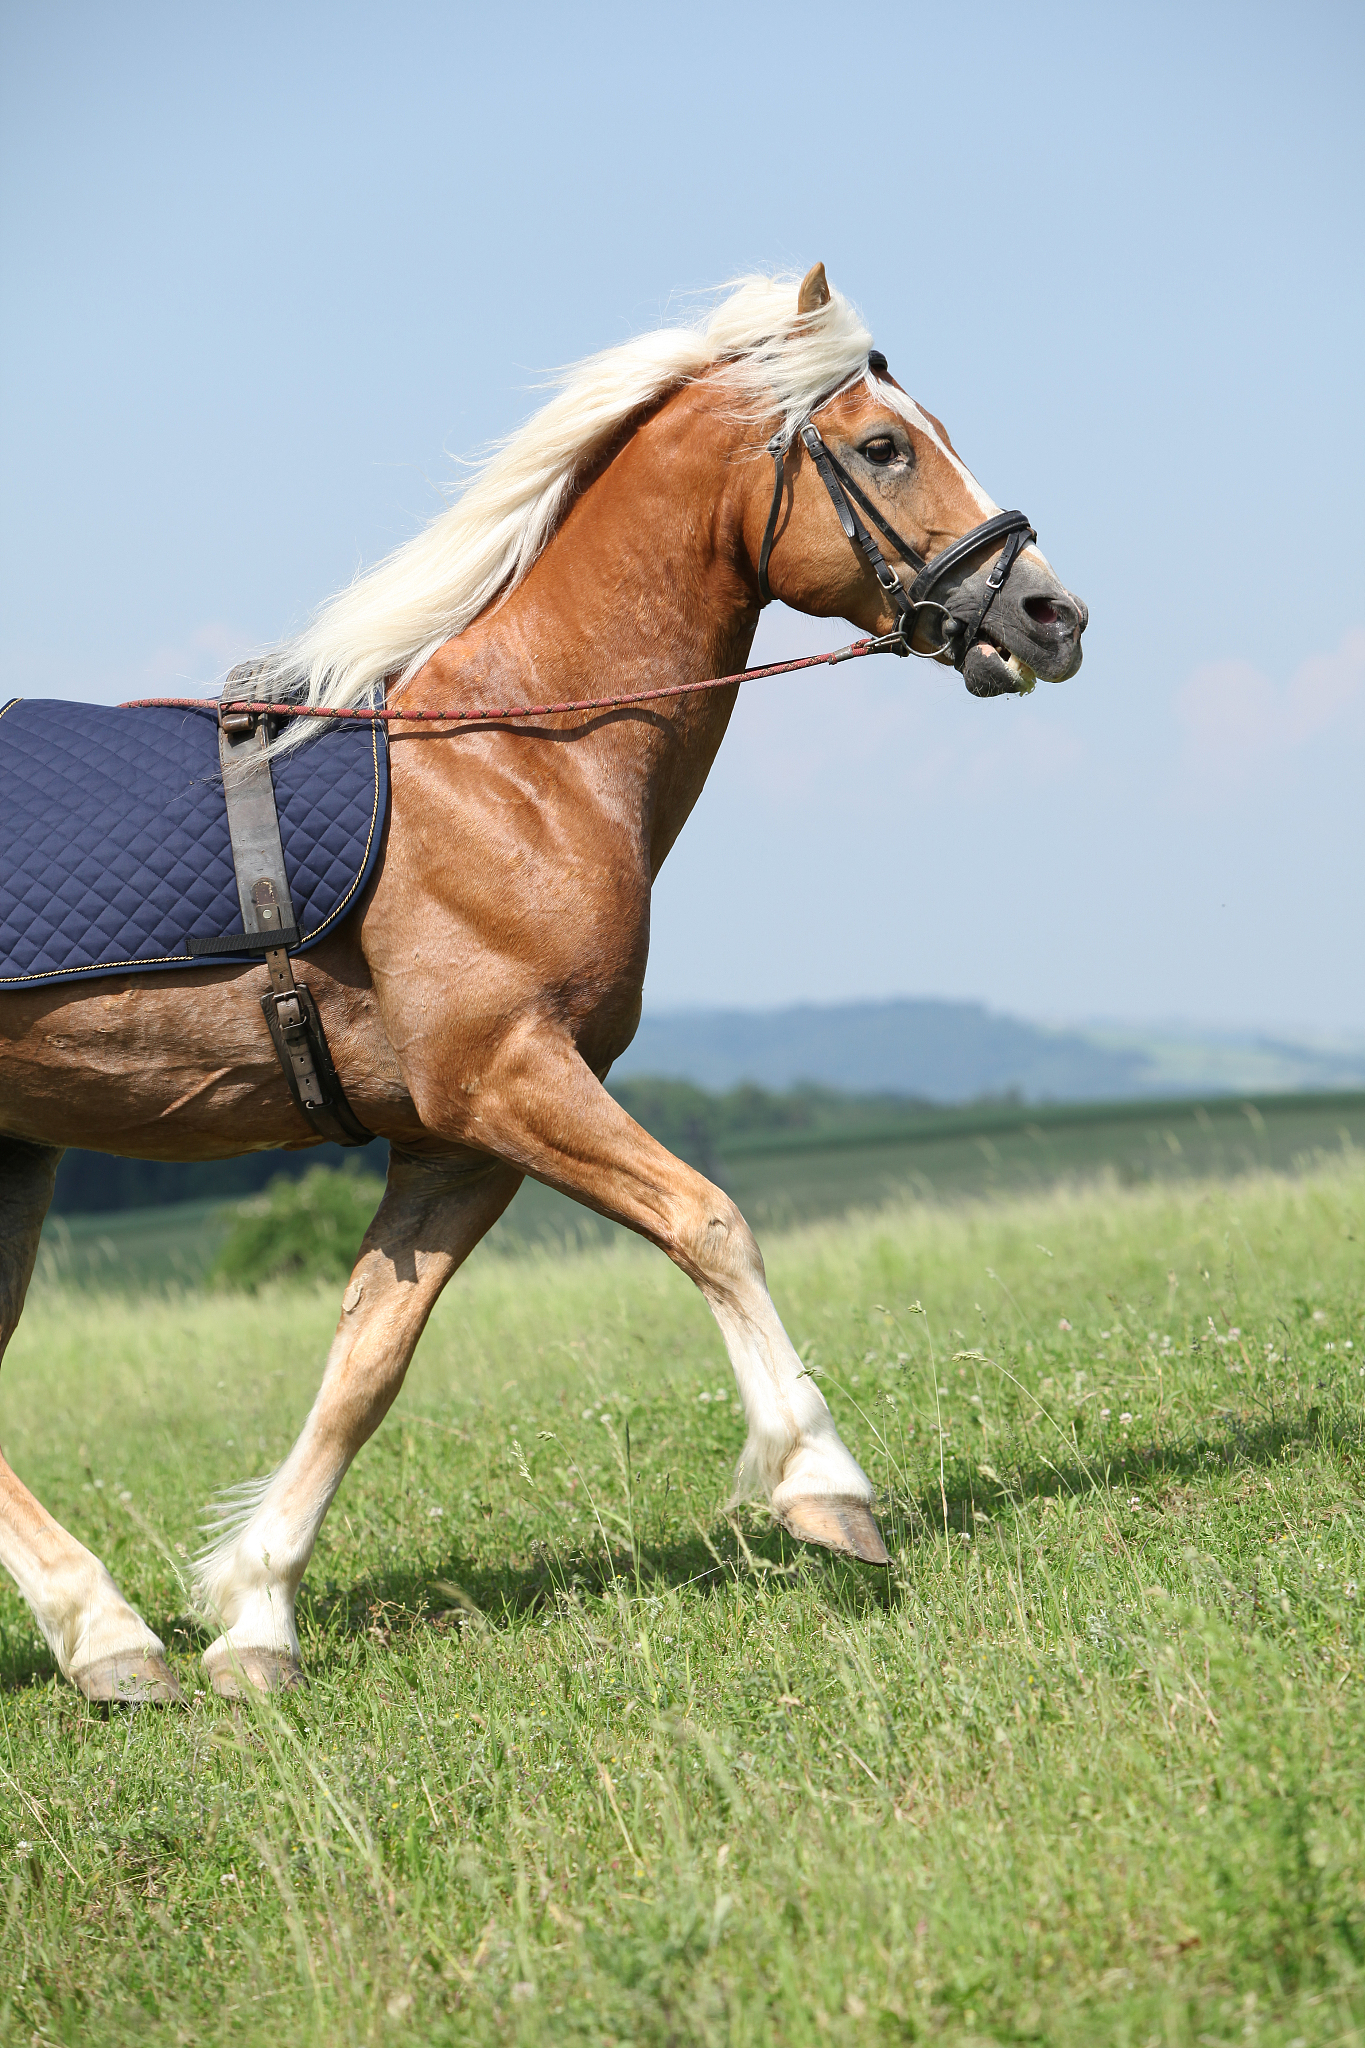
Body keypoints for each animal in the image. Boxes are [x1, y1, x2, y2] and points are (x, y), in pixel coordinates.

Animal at [0, 265, 1087, 1701]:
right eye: (883, 446)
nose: (1053, 616)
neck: (515, 755)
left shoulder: (455, 1143)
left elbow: (368, 1360)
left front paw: (257, 1613)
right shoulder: (508, 1079)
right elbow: (711, 1221)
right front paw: (824, 1486)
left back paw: (107, 1638)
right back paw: (105, 1628)